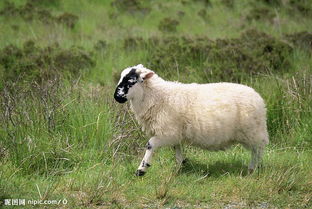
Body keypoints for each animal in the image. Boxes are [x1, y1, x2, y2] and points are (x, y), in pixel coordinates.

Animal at [113, 63, 270, 176]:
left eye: (131, 81)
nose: (116, 97)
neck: (158, 96)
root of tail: (259, 98)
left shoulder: (167, 133)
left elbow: (150, 144)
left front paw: (141, 169)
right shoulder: (175, 135)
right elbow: (177, 151)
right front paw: (178, 168)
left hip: (253, 132)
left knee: (258, 150)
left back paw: (253, 169)